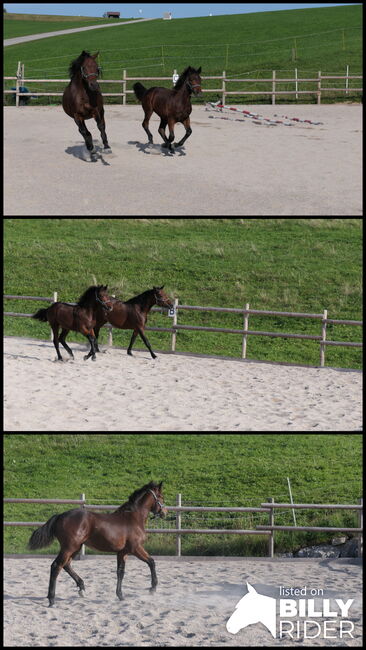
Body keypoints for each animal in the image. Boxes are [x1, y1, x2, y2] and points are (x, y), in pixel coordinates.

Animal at [27, 478, 167, 604]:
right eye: (161, 497)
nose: (165, 512)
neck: (132, 518)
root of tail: (60, 516)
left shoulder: (122, 552)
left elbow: (120, 572)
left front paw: (120, 595)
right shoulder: (135, 548)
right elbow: (151, 562)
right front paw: (153, 588)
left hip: (76, 547)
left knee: (66, 565)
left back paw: (81, 588)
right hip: (69, 547)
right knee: (56, 566)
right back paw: (51, 598)